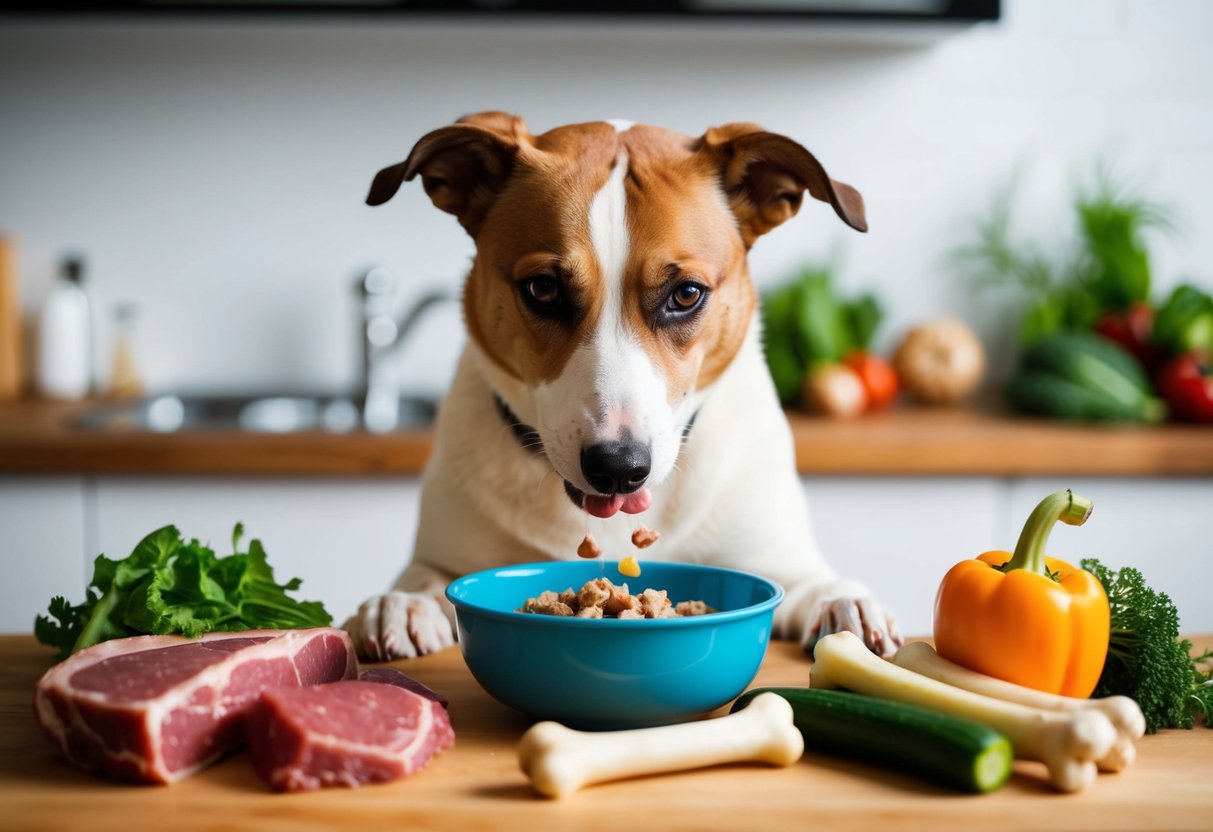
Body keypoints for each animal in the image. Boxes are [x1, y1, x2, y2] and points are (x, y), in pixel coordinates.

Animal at [342, 115, 902, 664]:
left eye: (686, 294)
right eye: (543, 289)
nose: (617, 468)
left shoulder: (774, 556)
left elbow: (811, 581)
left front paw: (842, 603)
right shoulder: (446, 551)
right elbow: (426, 575)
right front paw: (404, 603)